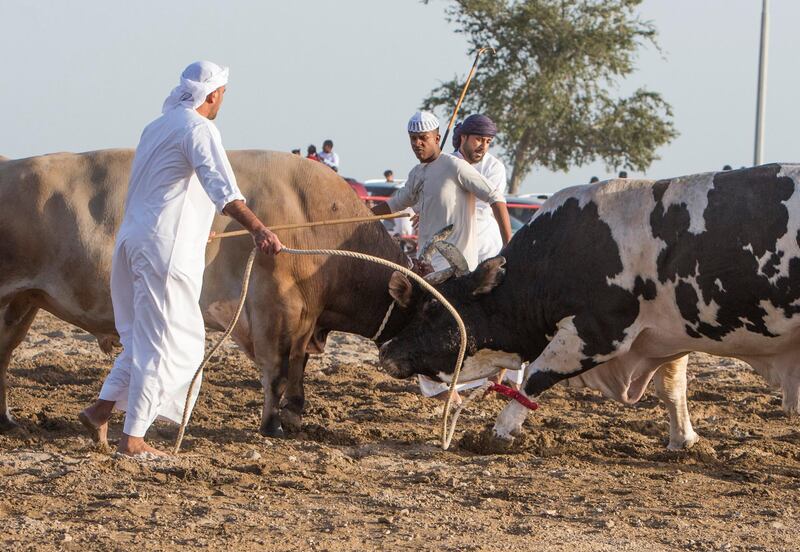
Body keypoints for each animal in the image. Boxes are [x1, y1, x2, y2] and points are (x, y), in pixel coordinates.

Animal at [380, 165, 800, 448]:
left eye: (432, 310)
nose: (386, 352)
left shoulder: (598, 332)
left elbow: (537, 376)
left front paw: (500, 432)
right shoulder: (665, 335)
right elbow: (673, 387)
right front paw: (684, 441)